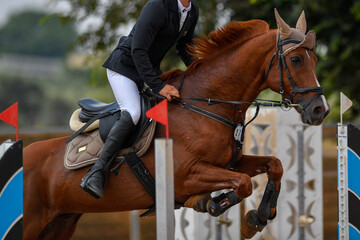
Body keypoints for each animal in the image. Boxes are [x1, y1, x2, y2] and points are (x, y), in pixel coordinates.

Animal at [23, 9, 330, 240]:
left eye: (314, 58)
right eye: (295, 59)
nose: (320, 110)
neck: (207, 106)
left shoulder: (230, 163)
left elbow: (274, 166)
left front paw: (257, 217)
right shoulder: (186, 174)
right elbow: (242, 184)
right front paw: (207, 202)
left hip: (60, 223)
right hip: (33, 223)